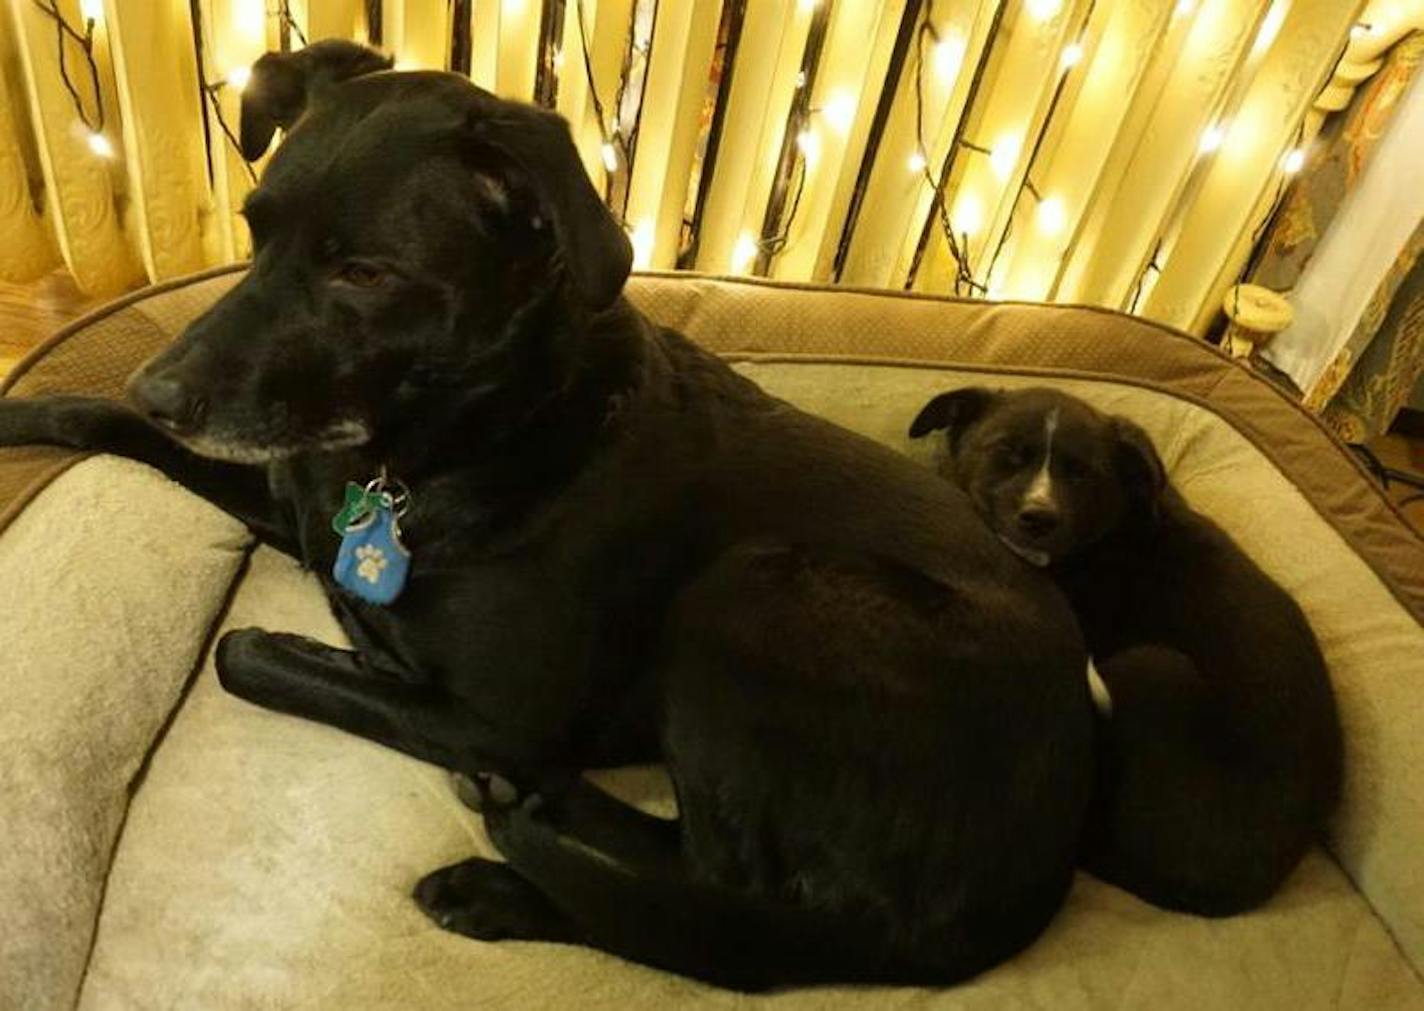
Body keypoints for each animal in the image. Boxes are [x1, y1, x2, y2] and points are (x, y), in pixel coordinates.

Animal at [0, 43, 1087, 996]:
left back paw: (503, 876)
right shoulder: (293, 498)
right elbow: (96, 419)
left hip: (752, 590)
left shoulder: (496, 712)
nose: (158, 391)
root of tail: (1034, 874)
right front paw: (30, 410)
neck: (456, 440)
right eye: (254, 227)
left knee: (725, 910)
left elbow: (246, 653)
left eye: (363, 273)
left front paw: (331, 653)